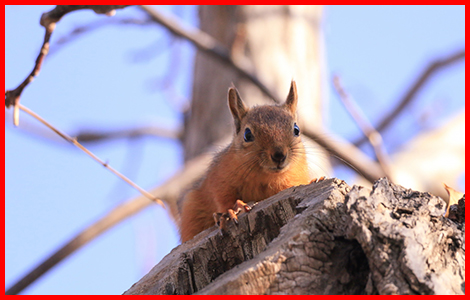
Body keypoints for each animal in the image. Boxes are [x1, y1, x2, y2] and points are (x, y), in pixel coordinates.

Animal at [178, 81, 318, 243]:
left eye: (296, 129)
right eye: (247, 134)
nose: (279, 155)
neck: (265, 177)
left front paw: (316, 180)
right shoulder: (219, 179)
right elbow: (222, 198)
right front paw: (231, 210)